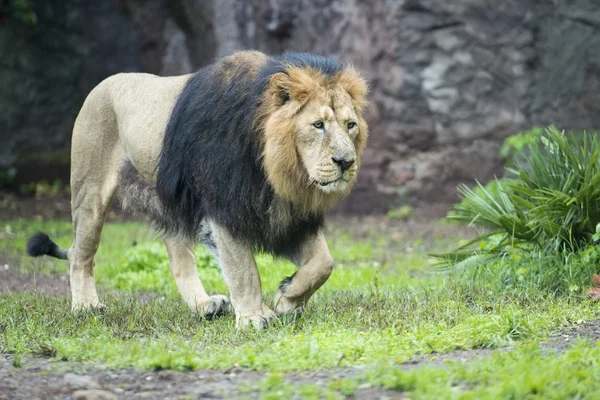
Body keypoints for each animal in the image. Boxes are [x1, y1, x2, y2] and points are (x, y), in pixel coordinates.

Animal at [25, 50, 368, 328]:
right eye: (318, 125)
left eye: (350, 125)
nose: (346, 162)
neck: (275, 171)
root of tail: (103, 84)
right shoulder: (224, 208)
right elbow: (244, 270)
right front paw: (254, 318)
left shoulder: (289, 217)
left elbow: (324, 264)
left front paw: (286, 299)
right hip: (90, 190)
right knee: (80, 254)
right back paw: (85, 305)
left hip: (170, 202)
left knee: (178, 260)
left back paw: (205, 306)